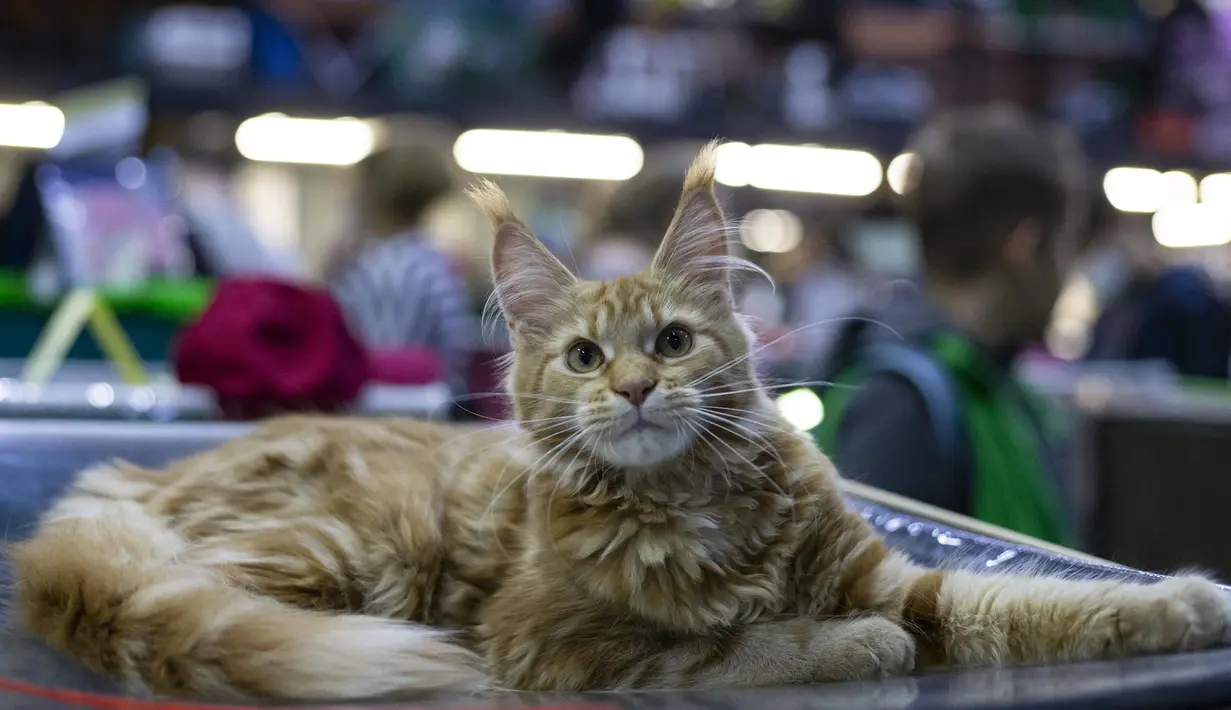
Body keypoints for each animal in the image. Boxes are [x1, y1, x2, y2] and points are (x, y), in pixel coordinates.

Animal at [12, 142, 1231, 698]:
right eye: (586, 357)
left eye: (675, 342)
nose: (636, 389)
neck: (692, 501)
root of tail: (130, 482)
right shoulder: (552, 644)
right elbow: (737, 644)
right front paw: (848, 645)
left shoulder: (900, 578)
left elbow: (1030, 602)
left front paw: (1178, 604)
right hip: (346, 548)